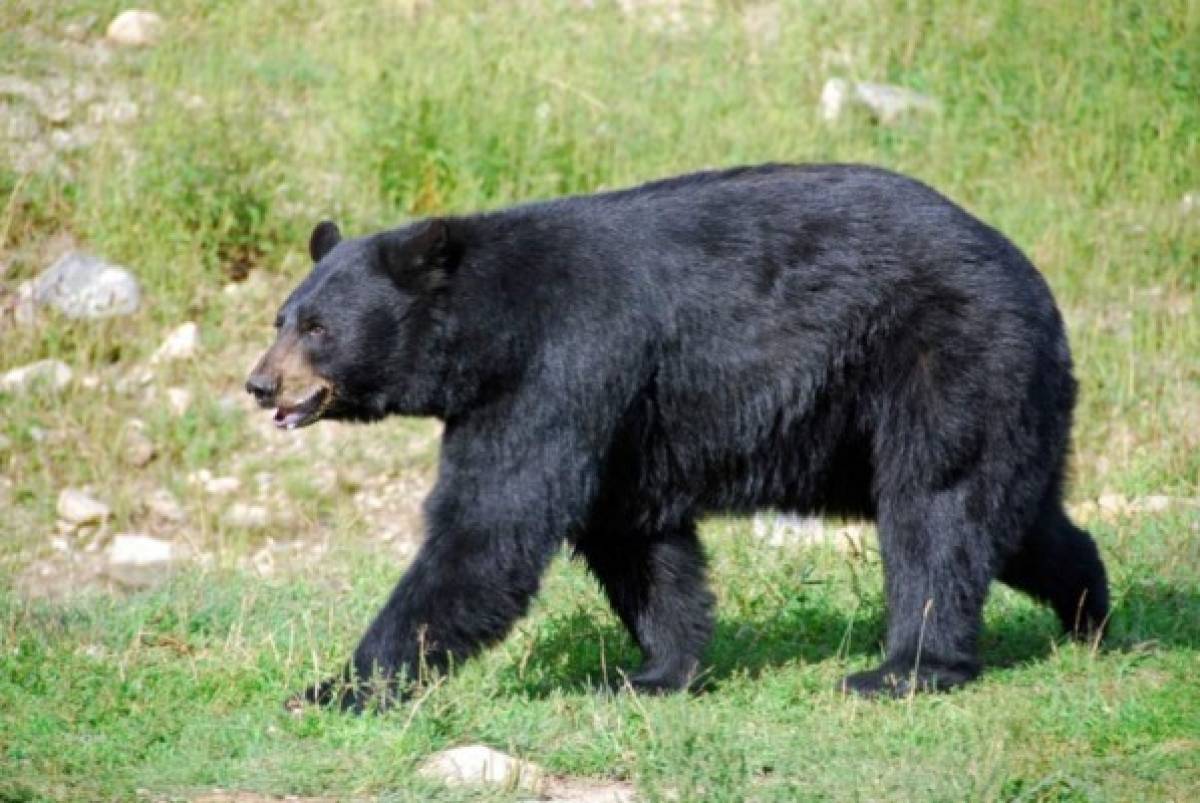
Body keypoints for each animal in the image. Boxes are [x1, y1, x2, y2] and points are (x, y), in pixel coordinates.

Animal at [241, 163, 1104, 705]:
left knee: (936, 506)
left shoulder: (561, 367)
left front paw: (334, 688)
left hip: (946, 356)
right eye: (281, 317)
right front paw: (658, 669)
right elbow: (637, 541)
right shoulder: (618, 419)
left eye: (317, 328)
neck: (491, 332)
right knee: (1012, 515)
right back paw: (1089, 608)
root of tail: (1035, 282)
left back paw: (904, 669)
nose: (259, 384)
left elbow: (489, 530)